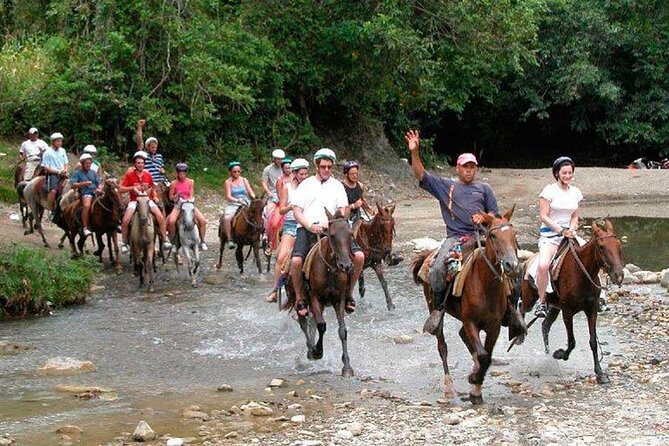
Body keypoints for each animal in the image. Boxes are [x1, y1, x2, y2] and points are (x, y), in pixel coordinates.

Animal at [282, 211, 358, 378]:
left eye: (350, 234)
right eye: (332, 235)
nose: (346, 265)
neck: (329, 269)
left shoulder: (338, 300)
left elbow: (342, 331)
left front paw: (347, 366)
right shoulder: (315, 298)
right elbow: (322, 326)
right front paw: (317, 352)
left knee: (311, 324)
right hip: (300, 300)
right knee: (304, 323)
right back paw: (311, 351)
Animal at [412, 209, 520, 404]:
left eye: (514, 234)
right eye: (493, 235)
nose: (512, 265)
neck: (485, 285)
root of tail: (427, 256)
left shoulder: (494, 327)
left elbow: (486, 356)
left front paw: (476, 387)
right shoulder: (471, 322)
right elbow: (483, 355)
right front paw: (473, 380)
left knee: (464, 337)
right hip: (434, 308)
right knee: (442, 346)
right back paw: (450, 388)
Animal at [520, 219, 624, 384]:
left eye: (618, 244)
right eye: (601, 247)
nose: (618, 276)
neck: (581, 274)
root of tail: (528, 261)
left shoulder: (591, 310)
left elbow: (593, 342)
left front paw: (600, 373)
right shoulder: (567, 312)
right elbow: (572, 341)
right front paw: (560, 354)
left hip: (555, 307)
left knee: (545, 325)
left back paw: (547, 352)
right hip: (529, 299)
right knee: (521, 309)